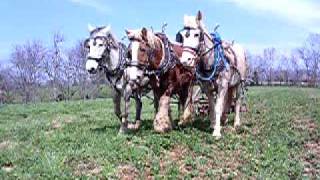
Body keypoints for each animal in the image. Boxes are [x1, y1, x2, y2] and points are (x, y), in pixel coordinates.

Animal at [178, 10, 248, 138]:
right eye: (182, 36)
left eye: (196, 34)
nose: (186, 60)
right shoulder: (207, 87)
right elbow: (212, 106)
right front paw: (213, 124)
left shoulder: (222, 85)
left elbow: (218, 106)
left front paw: (216, 132)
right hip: (230, 85)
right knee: (229, 100)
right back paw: (224, 119)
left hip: (240, 84)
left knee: (237, 101)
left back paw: (236, 123)